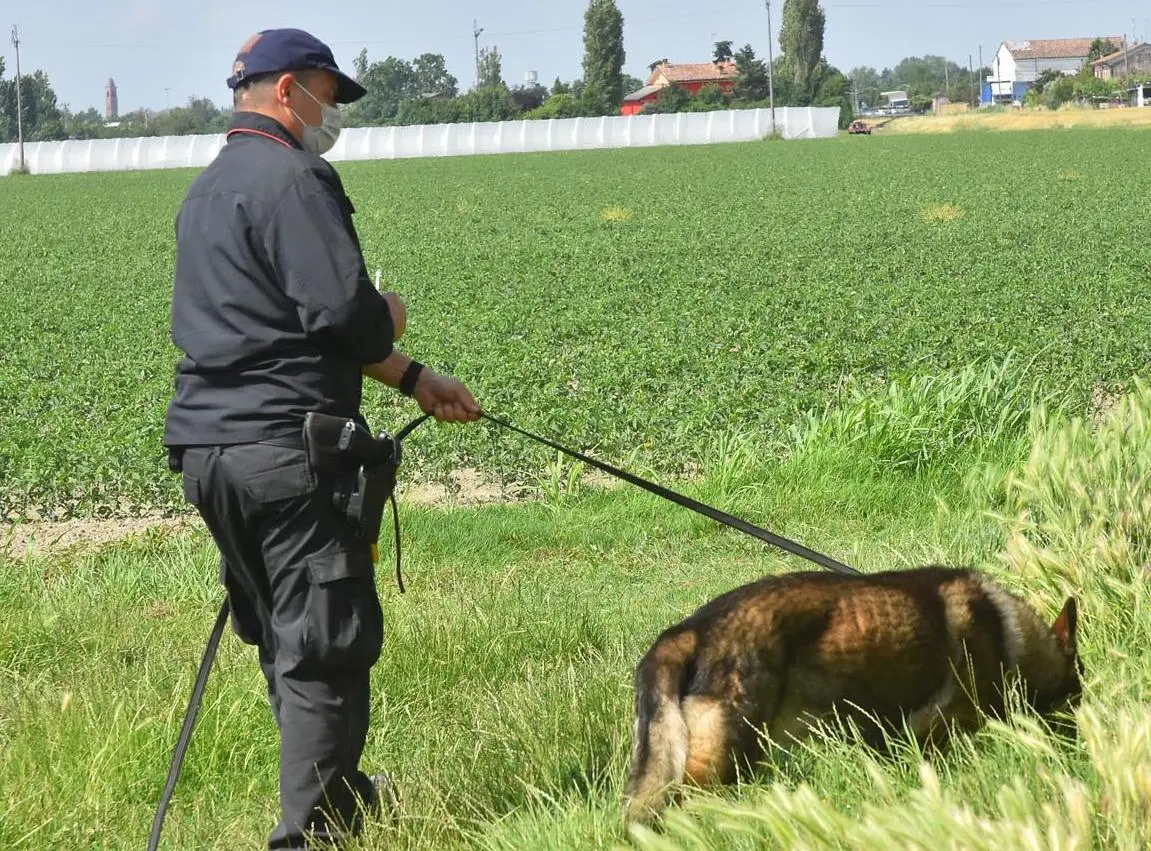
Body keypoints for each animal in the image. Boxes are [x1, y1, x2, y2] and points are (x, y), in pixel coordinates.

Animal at [621, 566, 1077, 824]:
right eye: (1078, 691)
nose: (1075, 749)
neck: (1009, 634)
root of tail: (691, 630)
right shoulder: (937, 733)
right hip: (723, 763)